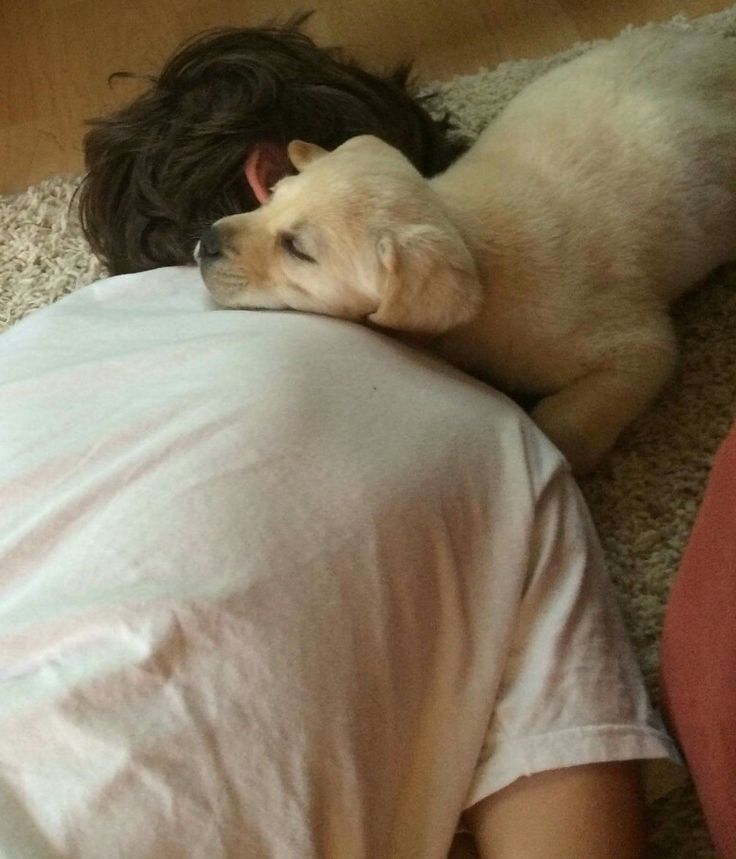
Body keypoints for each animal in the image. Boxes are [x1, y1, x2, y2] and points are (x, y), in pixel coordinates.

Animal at [198, 28, 736, 470]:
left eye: (297, 249)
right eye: (273, 194)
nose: (205, 243)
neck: (472, 239)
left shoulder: (638, 348)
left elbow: (564, 424)